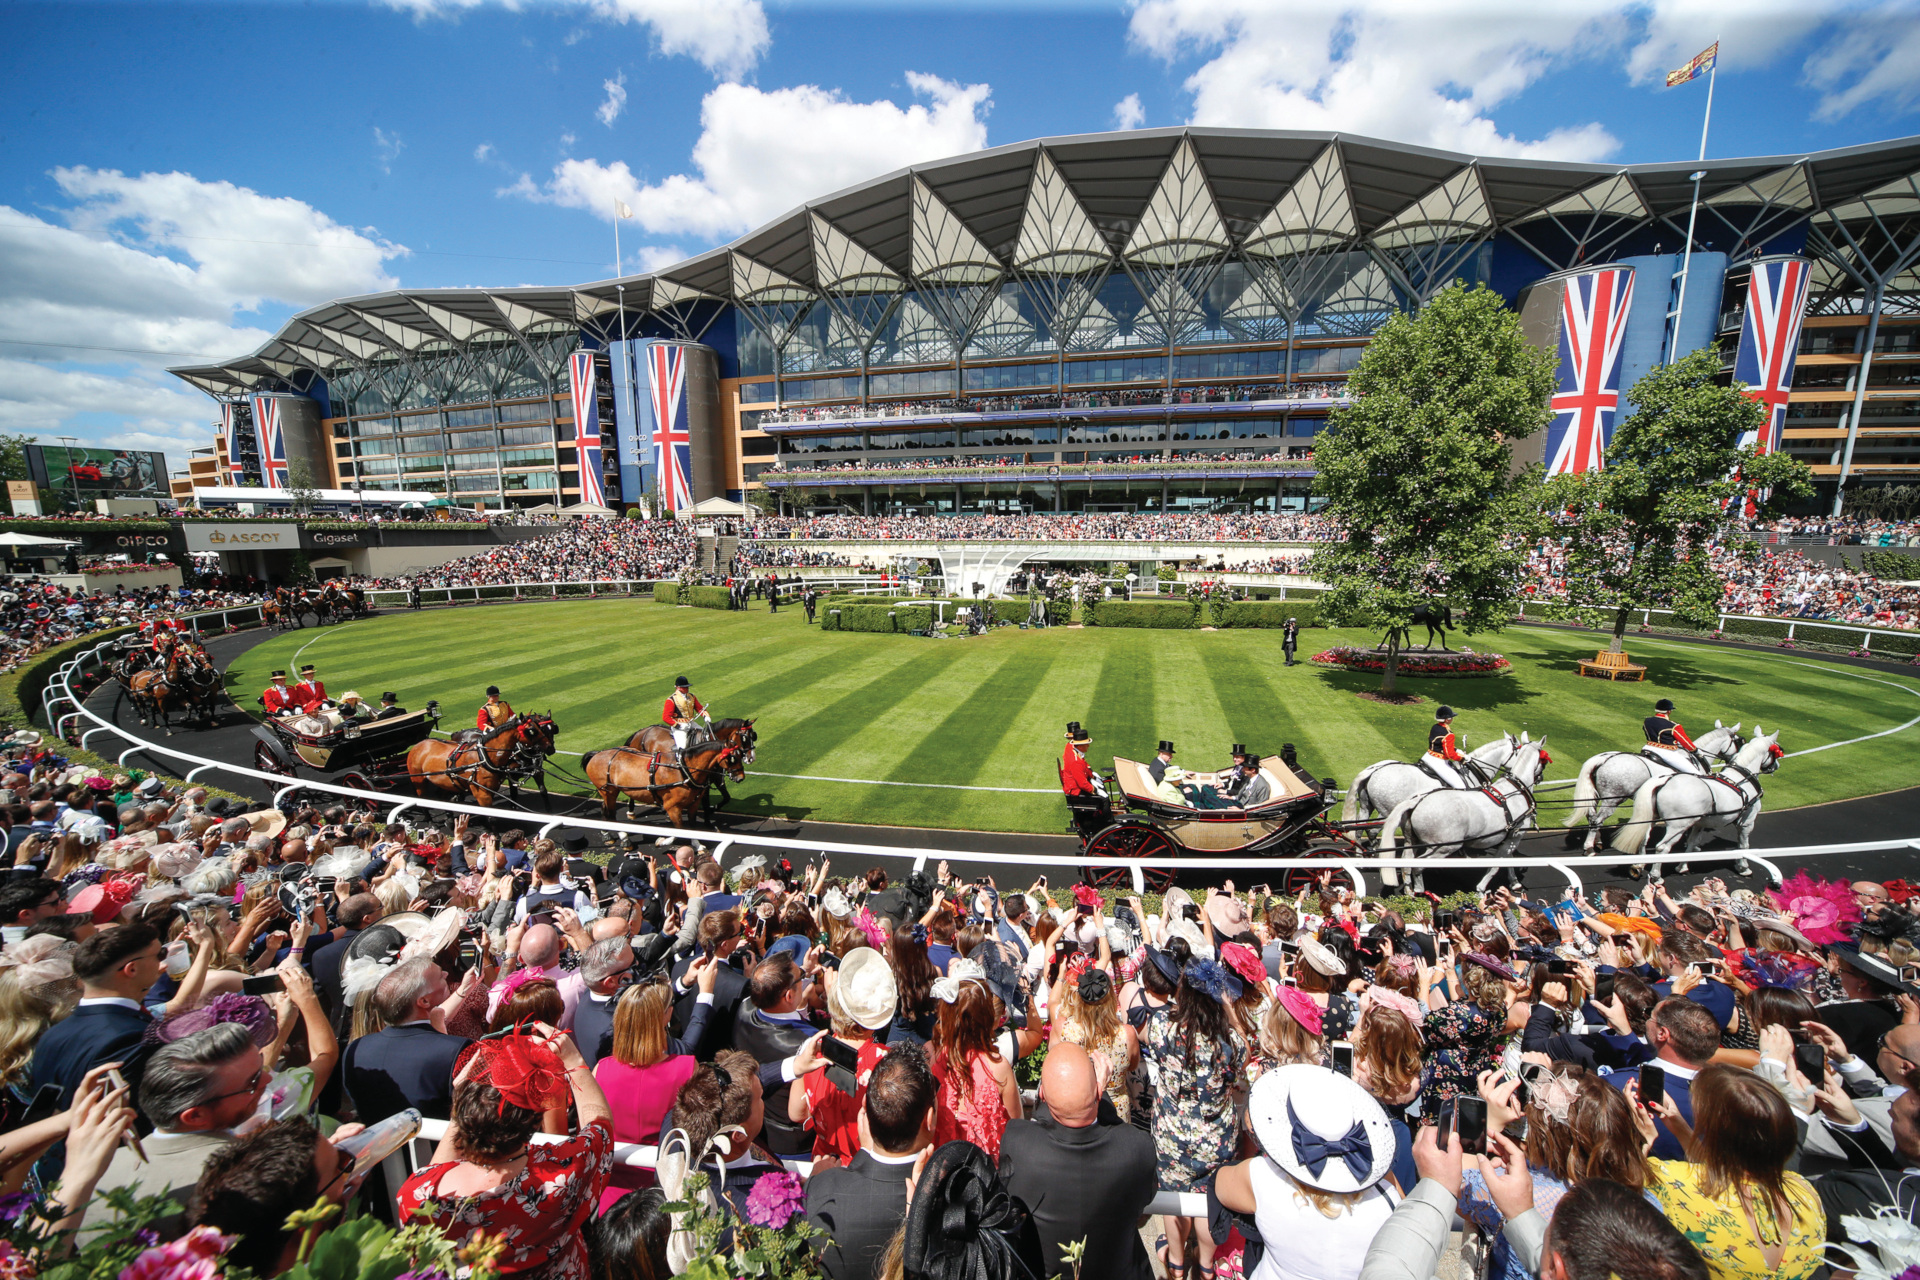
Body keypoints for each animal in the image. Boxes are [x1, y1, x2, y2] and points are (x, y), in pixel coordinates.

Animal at [405, 717, 556, 805]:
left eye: (553, 729)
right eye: (532, 731)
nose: (551, 748)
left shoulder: (537, 772)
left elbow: (543, 791)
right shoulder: (511, 775)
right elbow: (513, 795)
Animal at [576, 740, 741, 832]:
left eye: (741, 755)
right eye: (733, 758)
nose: (740, 777)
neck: (683, 769)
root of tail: (597, 754)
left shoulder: (693, 805)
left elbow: (693, 826)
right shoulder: (672, 807)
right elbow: (681, 828)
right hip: (608, 791)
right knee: (610, 814)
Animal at [1382, 740, 1543, 890]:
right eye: (1516, 752)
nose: (1540, 777)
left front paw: (1514, 881)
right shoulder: (1513, 836)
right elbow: (1499, 862)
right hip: (1440, 844)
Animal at [1566, 725, 1751, 855]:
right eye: (1740, 741)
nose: (1734, 760)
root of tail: (1604, 759)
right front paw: (1691, 844)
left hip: (1596, 797)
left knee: (1591, 817)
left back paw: (1596, 841)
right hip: (1613, 800)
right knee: (1596, 820)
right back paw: (1589, 848)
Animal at [1605, 725, 1781, 875]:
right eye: (1739, 740)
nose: (1776, 766)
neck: (1739, 778)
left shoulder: (1700, 822)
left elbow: (1691, 842)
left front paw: (1683, 864)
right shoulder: (1746, 822)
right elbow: (1743, 846)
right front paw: (1743, 867)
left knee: (1643, 838)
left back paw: (1638, 864)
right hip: (1671, 823)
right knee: (1662, 847)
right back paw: (1655, 876)